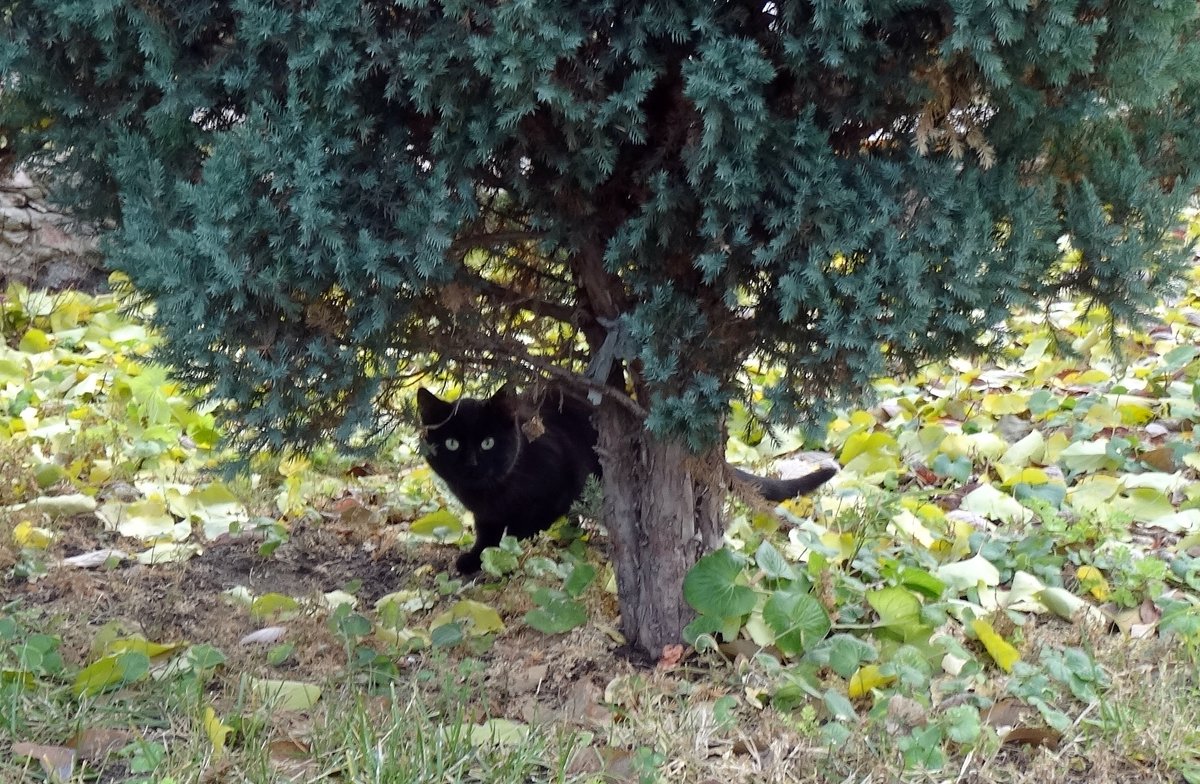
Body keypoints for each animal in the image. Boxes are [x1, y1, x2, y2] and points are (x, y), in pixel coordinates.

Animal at [417, 384, 840, 571]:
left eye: (488, 442)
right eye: (452, 443)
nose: (471, 462)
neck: (492, 492)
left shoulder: (558, 484)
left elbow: (524, 526)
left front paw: (497, 553)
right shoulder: (483, 512)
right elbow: (487, 530)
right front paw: (475, 555)